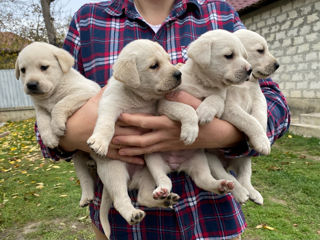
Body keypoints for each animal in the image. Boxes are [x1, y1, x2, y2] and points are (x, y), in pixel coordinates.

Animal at [15, 41, 101, 206]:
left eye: (44, 67)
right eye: (23, 70)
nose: (31, 84)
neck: (51, 93)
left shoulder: (84, 92)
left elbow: (61, 104)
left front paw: (56, 125)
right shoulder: (40, 108)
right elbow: (42, 122)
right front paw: (49, 138)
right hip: (78, 160)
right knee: (85, 179)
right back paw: (86, 197)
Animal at [146, 30, 254, 201]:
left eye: (245, 56)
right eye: (229, 55)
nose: (250, 70)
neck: (203, 84)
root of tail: (175, 165)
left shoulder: (221, 102)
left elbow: (214, 99)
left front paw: (204, 111)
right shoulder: (166, 103)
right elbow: (187, 109)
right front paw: (191, 131)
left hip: (199, 161)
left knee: (203, 180)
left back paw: (222, 185)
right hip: (153, 159)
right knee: (163, 178)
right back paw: (162, 191)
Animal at [208, 28, 280, 204]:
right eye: (260, 50)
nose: (277, 65)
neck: (245, 83)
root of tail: (228, 164)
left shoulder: (259, 98)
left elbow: (260, 116)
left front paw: (262, 137)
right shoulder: (229, 108)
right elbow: (249, 120)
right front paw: (262, 140)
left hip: (245, 159)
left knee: (245, 177)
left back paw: (253, 193)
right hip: (211, 159)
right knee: (227, 177)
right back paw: (241, 193)